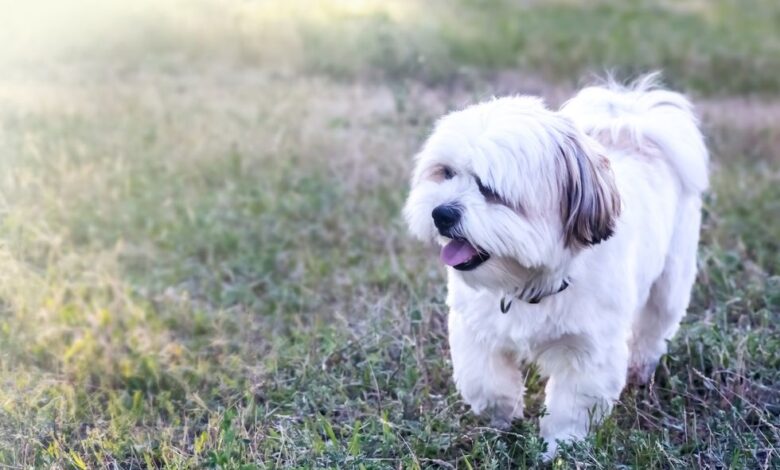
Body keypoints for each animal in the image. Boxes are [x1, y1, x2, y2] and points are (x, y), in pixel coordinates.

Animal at [406, 76, 708, 456]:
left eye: (490, 190)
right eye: (445, 173)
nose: (441, 213)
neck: (528, 279)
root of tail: (633, 123)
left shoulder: (588, 353)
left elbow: (572, 408)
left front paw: (560, 447)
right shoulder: (476, 330)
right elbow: (487, 383)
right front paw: (501, 422)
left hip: (670, 281)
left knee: (654, 327)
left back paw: (641, 369)